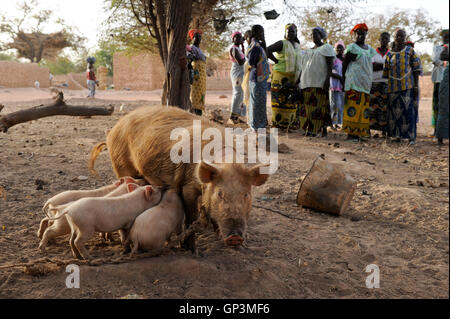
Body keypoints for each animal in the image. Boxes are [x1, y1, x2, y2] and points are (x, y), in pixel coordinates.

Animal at [89, 107, 268, 252]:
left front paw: (218, 235)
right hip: (121, 165)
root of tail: (112, 130)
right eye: (220, 194)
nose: (235, 237)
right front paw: (191, 250)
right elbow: (190, 217)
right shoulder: (187, 186)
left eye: (246, 195)